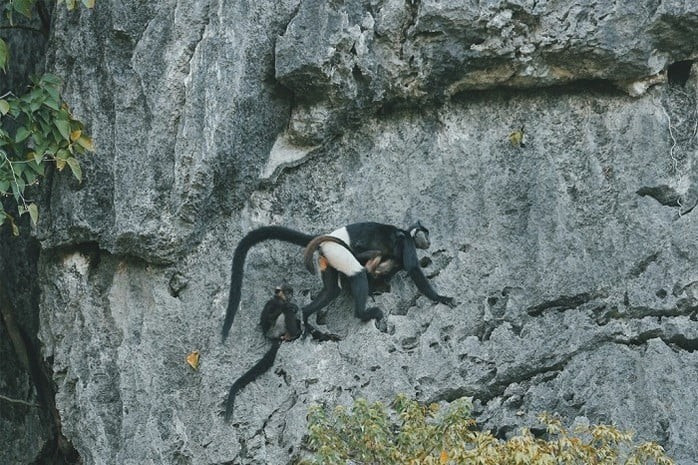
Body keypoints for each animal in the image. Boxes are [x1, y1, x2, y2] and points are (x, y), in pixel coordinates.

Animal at [222, 221, 454, 343]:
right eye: (425, 234)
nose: (429, 241)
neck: (404, 232)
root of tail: (324, 239)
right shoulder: (406, 243)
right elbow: (412, 268)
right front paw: (440, 297)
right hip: (337, 250)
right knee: (357, 272)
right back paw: (363, 313)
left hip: (326, 258)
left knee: (332, 290)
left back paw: (306, 314)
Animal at [224, 284, 300, 420]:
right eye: (287, 292)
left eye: (290, 292)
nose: (290, 295)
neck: (280, 299)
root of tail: (272, 337)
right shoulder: (274, 303)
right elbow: (270, 316)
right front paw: (290, 306)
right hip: (276, 329)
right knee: (286, 313)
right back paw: (292, 333)